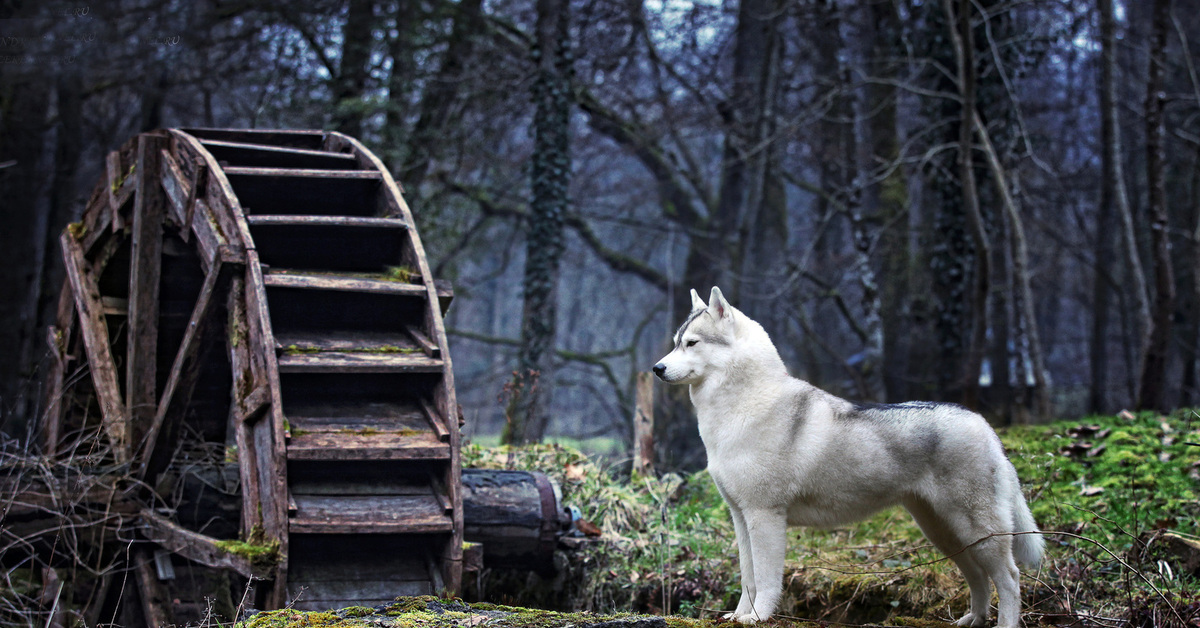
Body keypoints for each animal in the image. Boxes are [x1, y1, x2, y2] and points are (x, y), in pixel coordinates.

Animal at [657, 289, 1041, 628]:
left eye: (692, 343)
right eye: (675, 342)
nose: (656, 368)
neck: (744, 405)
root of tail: (984, 425)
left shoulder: (765, 515)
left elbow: (765, 579)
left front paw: (758, 617)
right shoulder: (741, 517)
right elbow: (747, 577)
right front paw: (739, 616)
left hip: (978, 529)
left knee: (1009, 577)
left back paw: (1004, 622)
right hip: (944, 532)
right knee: (978, 576)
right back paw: (974, 618)